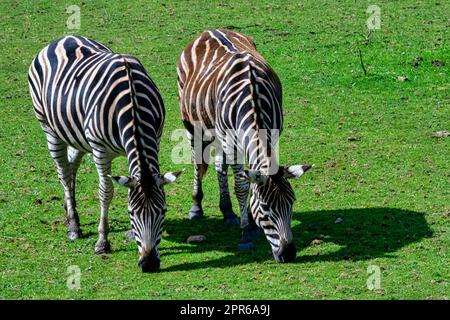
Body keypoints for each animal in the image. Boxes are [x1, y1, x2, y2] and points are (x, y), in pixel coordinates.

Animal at [26, 36, 180, 272]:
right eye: (131, 213)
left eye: (163, 211)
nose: (149, 264)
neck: (133, 103)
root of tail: (63, 38)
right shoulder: (100, 151)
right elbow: (105, 192)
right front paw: (102, 242)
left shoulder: (157, 138)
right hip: (49, 128)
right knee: (63, 172)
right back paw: (73, 225)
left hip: (77, 135)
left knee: (71, 165)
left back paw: (70, 210)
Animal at [178, 28, 312, 262]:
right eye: (266, 208)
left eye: (292, 202)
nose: (288, 254)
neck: (253, 98)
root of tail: (210, 30)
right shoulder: (232, 143)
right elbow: (241, 185)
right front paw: (246, 231)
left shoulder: (271, 136)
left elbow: (252, 180)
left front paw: (249, 219)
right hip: (193, 126)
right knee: (197, 163)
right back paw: (196, 207)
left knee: (219, 166)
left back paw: (227, 211)